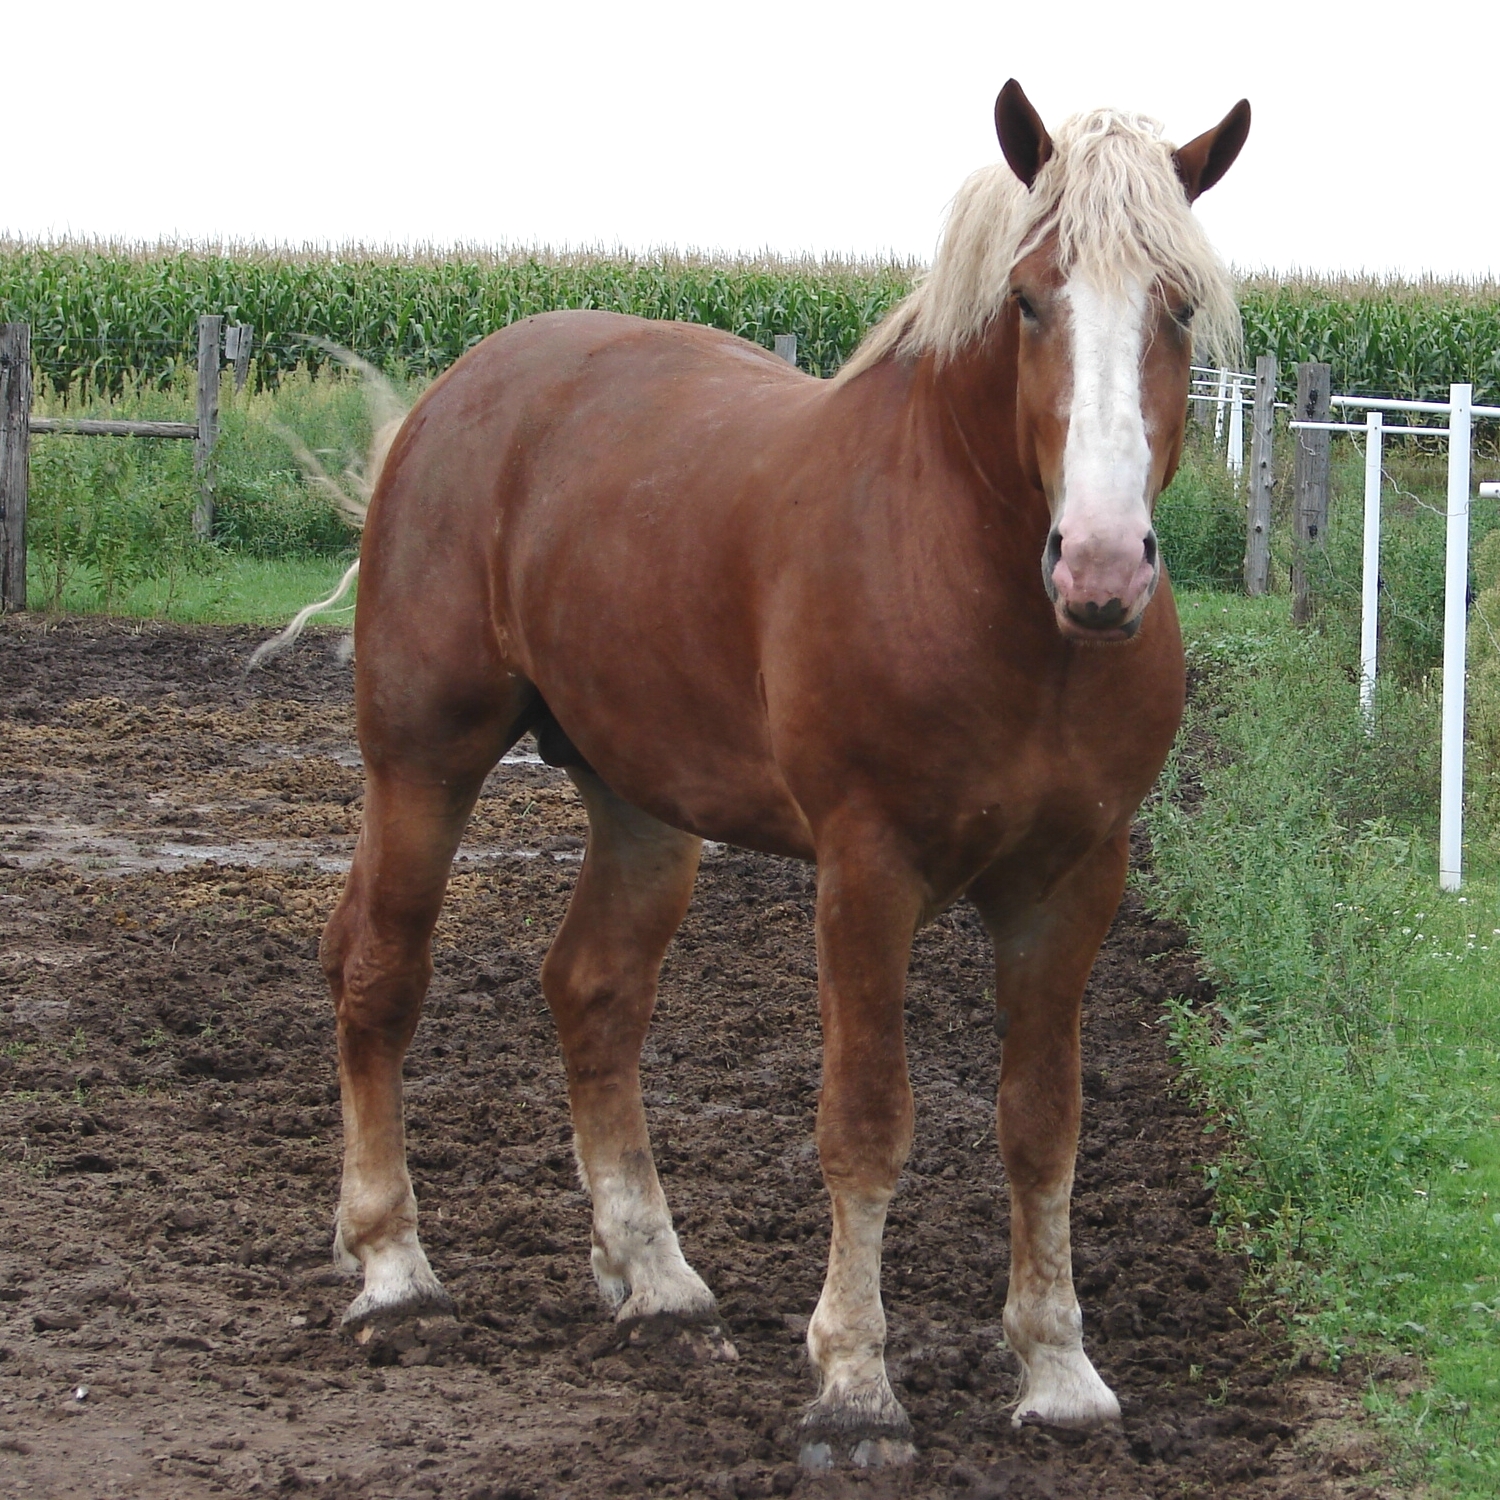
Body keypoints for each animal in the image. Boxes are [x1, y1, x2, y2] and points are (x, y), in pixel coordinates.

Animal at [319, 79, 1254, 1464]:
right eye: (1030, 298)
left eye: (1178, 303)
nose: (1099, 564)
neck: (991, 597)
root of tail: (457, 394)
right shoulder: (867, 872)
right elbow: (866, 1122)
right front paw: (854, 1387)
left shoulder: (1071, 883)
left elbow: (1043, 1125)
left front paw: (1060, 1372)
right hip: (422, 763)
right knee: (381, 977)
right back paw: (393, 1272)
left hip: (641, 805)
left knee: (593, 992)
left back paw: (655, 1280)